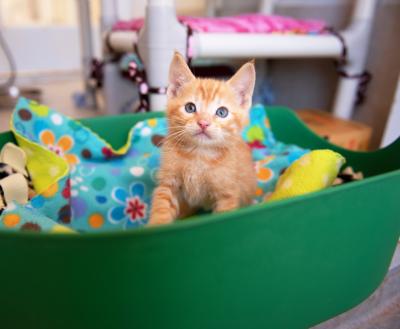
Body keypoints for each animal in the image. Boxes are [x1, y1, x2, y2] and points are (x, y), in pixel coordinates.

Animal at [149, 52, 256, 226]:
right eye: (190, 108)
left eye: (222, 112)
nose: (203, 123)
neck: (198, 154)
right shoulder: (168, 184)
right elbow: (161, 206)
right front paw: (157, 226)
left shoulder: (227, 194)